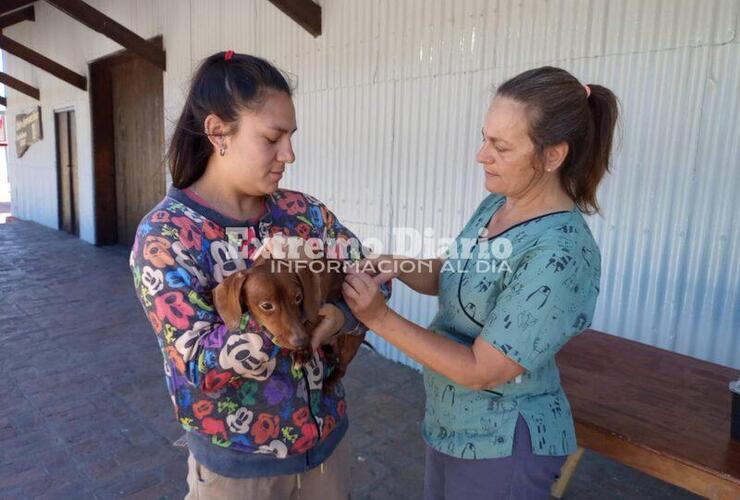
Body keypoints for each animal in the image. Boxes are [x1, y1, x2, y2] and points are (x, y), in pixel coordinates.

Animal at [211, 260, 364, 392]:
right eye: (266, 305)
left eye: (298, 297)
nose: (301, 342)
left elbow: (310, 321)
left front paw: (303, 352)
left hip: (350, 345)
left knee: (342, 368)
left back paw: (329, 383)